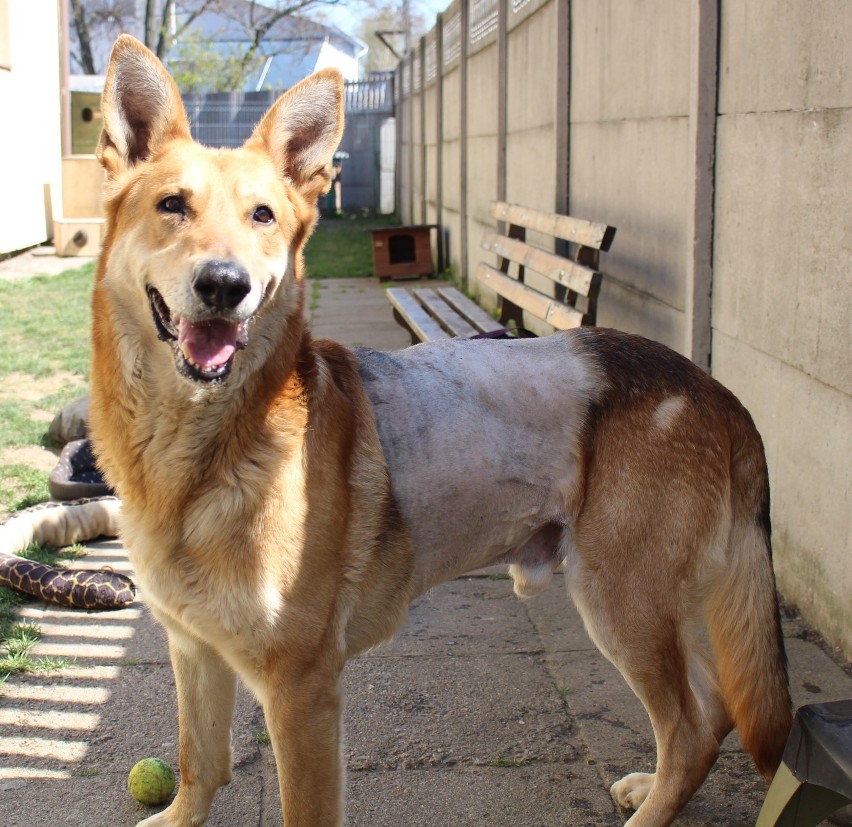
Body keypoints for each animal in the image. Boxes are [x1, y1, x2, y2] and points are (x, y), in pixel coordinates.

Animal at [88, 34, 792, 827]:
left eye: (262, 217)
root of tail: (714, 389)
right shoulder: (193, 647)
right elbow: (198, 760)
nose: (224, 285)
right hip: (648, 603)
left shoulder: (301, 691)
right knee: (713, 706)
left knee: (692, 724)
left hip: (621, 599)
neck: (199, 452)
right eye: (172, 205)